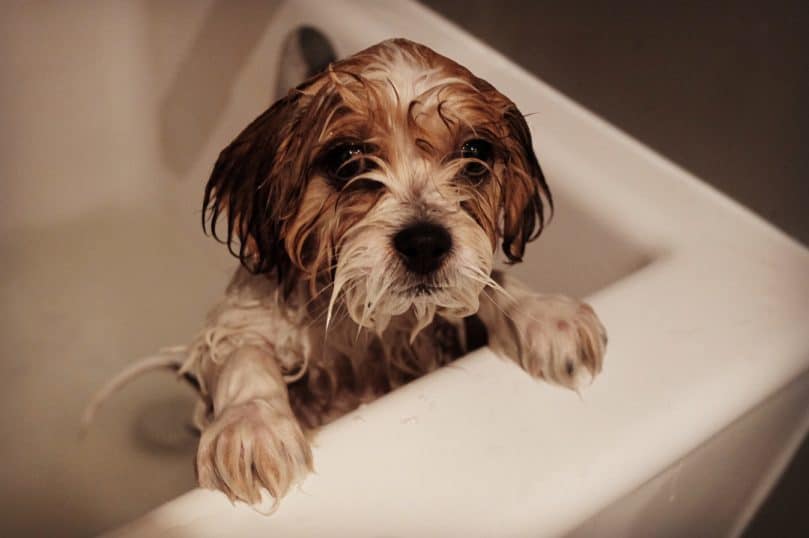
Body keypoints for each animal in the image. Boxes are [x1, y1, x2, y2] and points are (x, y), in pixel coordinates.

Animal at [87, 37, 608, 506]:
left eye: (475, 154)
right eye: (346, 160)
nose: (426, 243)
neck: (365, 331)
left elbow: (488, 282)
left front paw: (546, 316)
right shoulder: (247, 316)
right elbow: (244, 353)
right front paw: (252, 424)